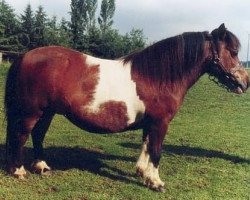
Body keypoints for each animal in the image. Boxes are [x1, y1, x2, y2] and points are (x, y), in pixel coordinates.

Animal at [4, 23, 249, 192]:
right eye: (233, 52)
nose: (245, 82)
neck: (157, 76)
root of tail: (25, 56)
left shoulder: (150, 123)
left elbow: (146, 145)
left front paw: (142, 172)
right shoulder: (161, 123)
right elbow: (156, 151)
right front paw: (156, 182)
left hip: (47, 112)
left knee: (37, 135)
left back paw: (42, 166)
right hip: (31, 113)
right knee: (20, 137)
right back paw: (19, 171)